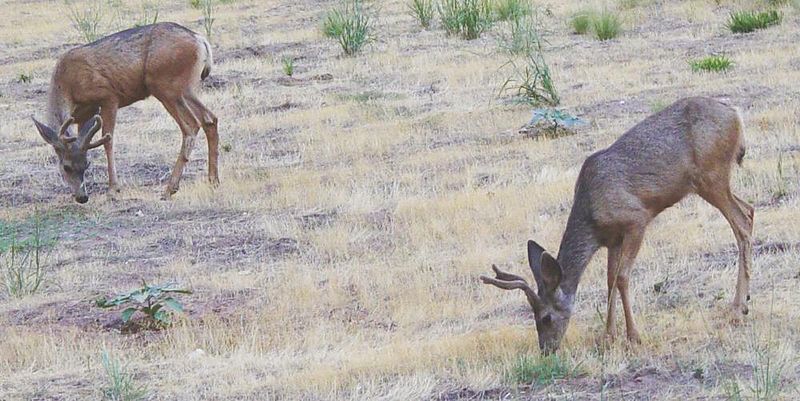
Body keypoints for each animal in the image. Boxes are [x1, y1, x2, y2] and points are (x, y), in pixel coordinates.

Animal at [31, 21, 217, 203]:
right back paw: (213, 181)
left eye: (84, 165)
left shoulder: (108, 96)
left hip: (166, 85)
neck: (66, 86)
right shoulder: (85, 114)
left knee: (191, 125)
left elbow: (108, 140)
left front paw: (113, 190)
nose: (82, 197)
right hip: (185, 89)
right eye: (67, 167)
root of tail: (200, 40)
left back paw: (170, 189)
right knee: (209, 118)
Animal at [482, 95, 756, 352]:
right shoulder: (612, 240)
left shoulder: (636, 220)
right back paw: (743, 301)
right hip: (713, 181)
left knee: (741, 221)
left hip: (711, 176)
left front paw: (633, 336)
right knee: (749, 210)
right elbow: (610, 279)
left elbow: (623, 277)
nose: (546, 349)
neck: (591, 213)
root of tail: (735, 114)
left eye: (546, 318)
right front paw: (608, 336)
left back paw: (738, 308)